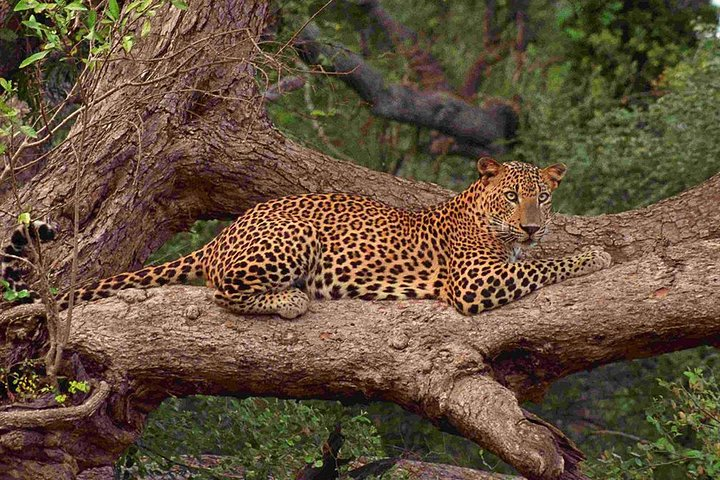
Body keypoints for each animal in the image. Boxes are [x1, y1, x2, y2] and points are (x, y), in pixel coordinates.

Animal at [2, 158, 612, 318]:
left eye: (543, 197)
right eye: (511, 196)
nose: (533, 224)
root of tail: (229, 229)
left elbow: (536, 259)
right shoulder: (475, 282)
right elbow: (541, 266)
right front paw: (593, 254)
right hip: (293, 239)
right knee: (221, 288)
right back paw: (288, 300)